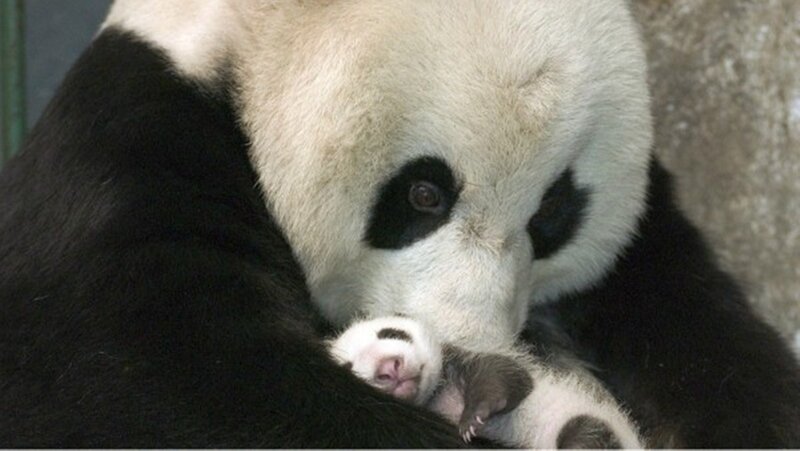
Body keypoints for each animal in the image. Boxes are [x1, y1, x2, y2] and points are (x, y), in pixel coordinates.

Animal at [1, 0, 799, 448]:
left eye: (553, 211)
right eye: (424, 194)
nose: (468, 342)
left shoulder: (645, 248)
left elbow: (710, 346)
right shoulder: (129, 155)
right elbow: (151, 381)